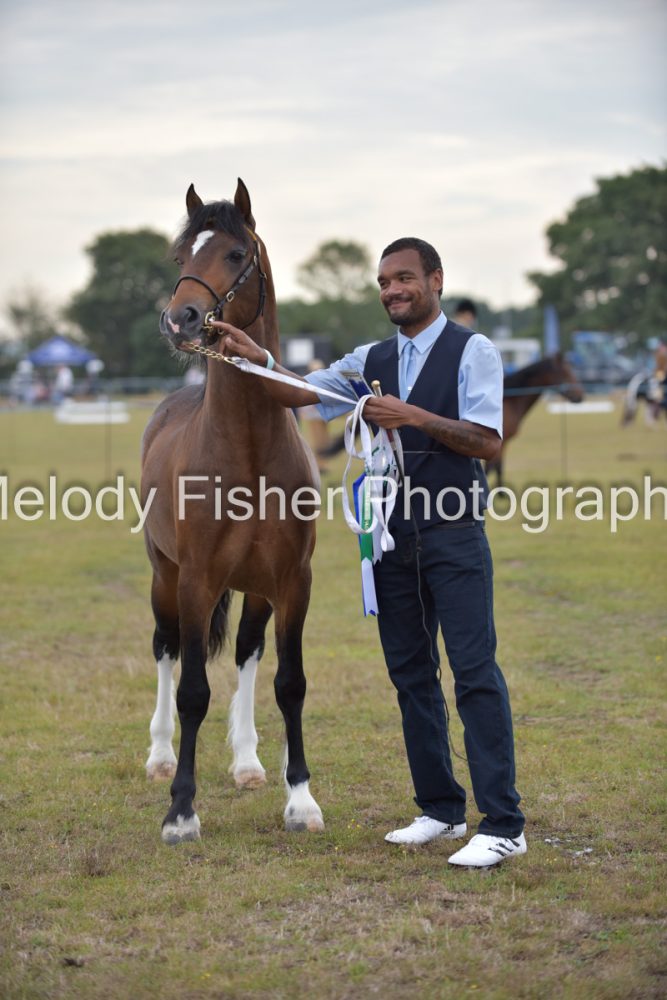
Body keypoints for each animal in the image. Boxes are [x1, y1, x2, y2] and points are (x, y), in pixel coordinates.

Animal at [141, 179, 324, 844]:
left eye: (237, 253)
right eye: (180, 256)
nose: (181, 319)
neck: (246, 448)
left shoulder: (292, 582)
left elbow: (289, 684)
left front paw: (301, 801)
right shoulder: (196, 580)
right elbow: (193, 690)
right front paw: (180, 811)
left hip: (255, 587)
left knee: (247, 653)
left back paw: (247, 762)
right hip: (164, 576)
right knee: (165, 648)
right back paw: (160, 755)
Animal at [485, 353, 584, 486]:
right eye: (565, 372)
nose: (580, 396)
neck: (510, 401)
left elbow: (496, 468)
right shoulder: (502, 443)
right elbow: (495, 468)